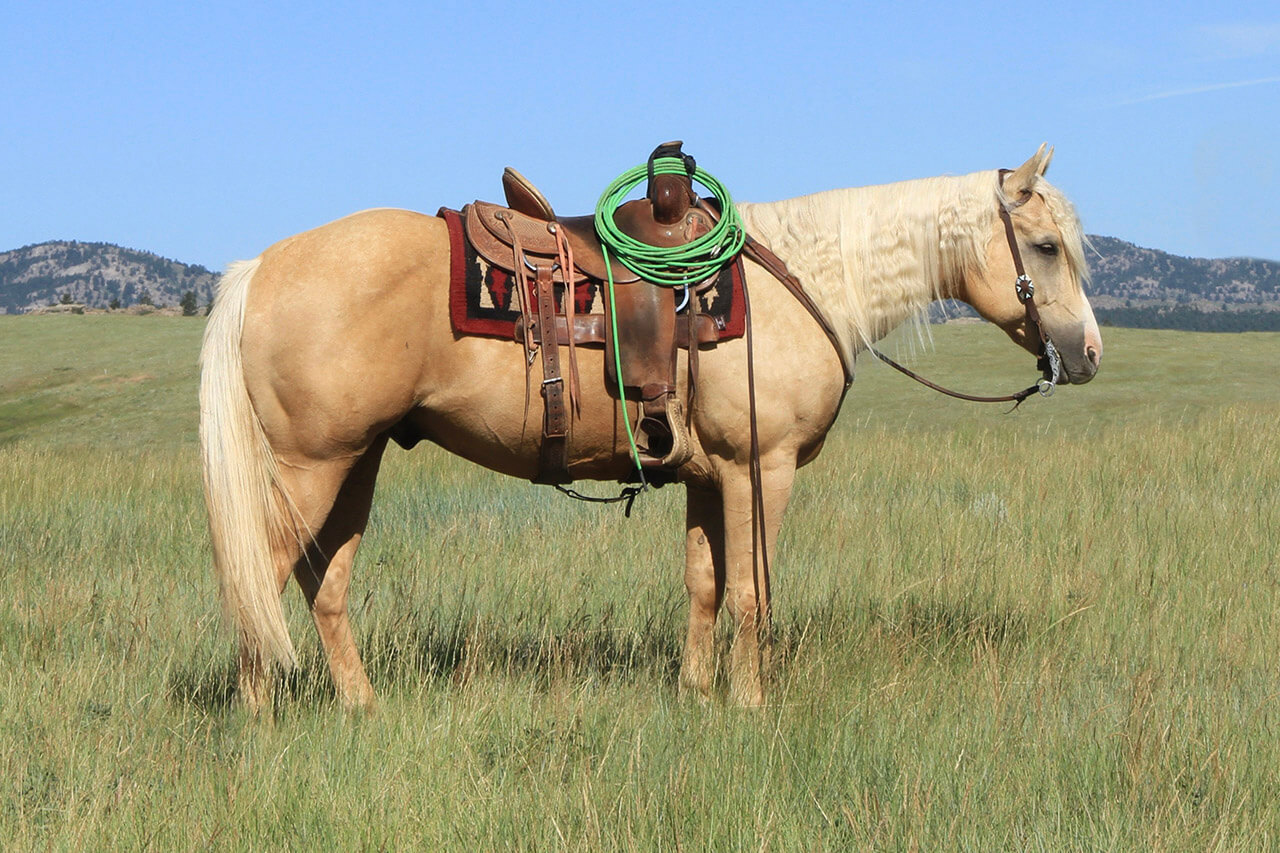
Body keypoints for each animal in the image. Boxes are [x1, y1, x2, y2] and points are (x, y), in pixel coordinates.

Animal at [197, 144, 1100, 712]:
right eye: (1045, 247)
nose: (1088, 352)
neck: (806, 279)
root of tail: (260, 265)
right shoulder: (760, 469)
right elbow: (751, 590)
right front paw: (750, 702)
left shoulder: (709, 474)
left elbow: (704, 586)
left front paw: (698, 693)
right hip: (311, 466)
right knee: (257, 588)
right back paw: (259, 722)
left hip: (356, 462)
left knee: (323, 586)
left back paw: (363, 707)